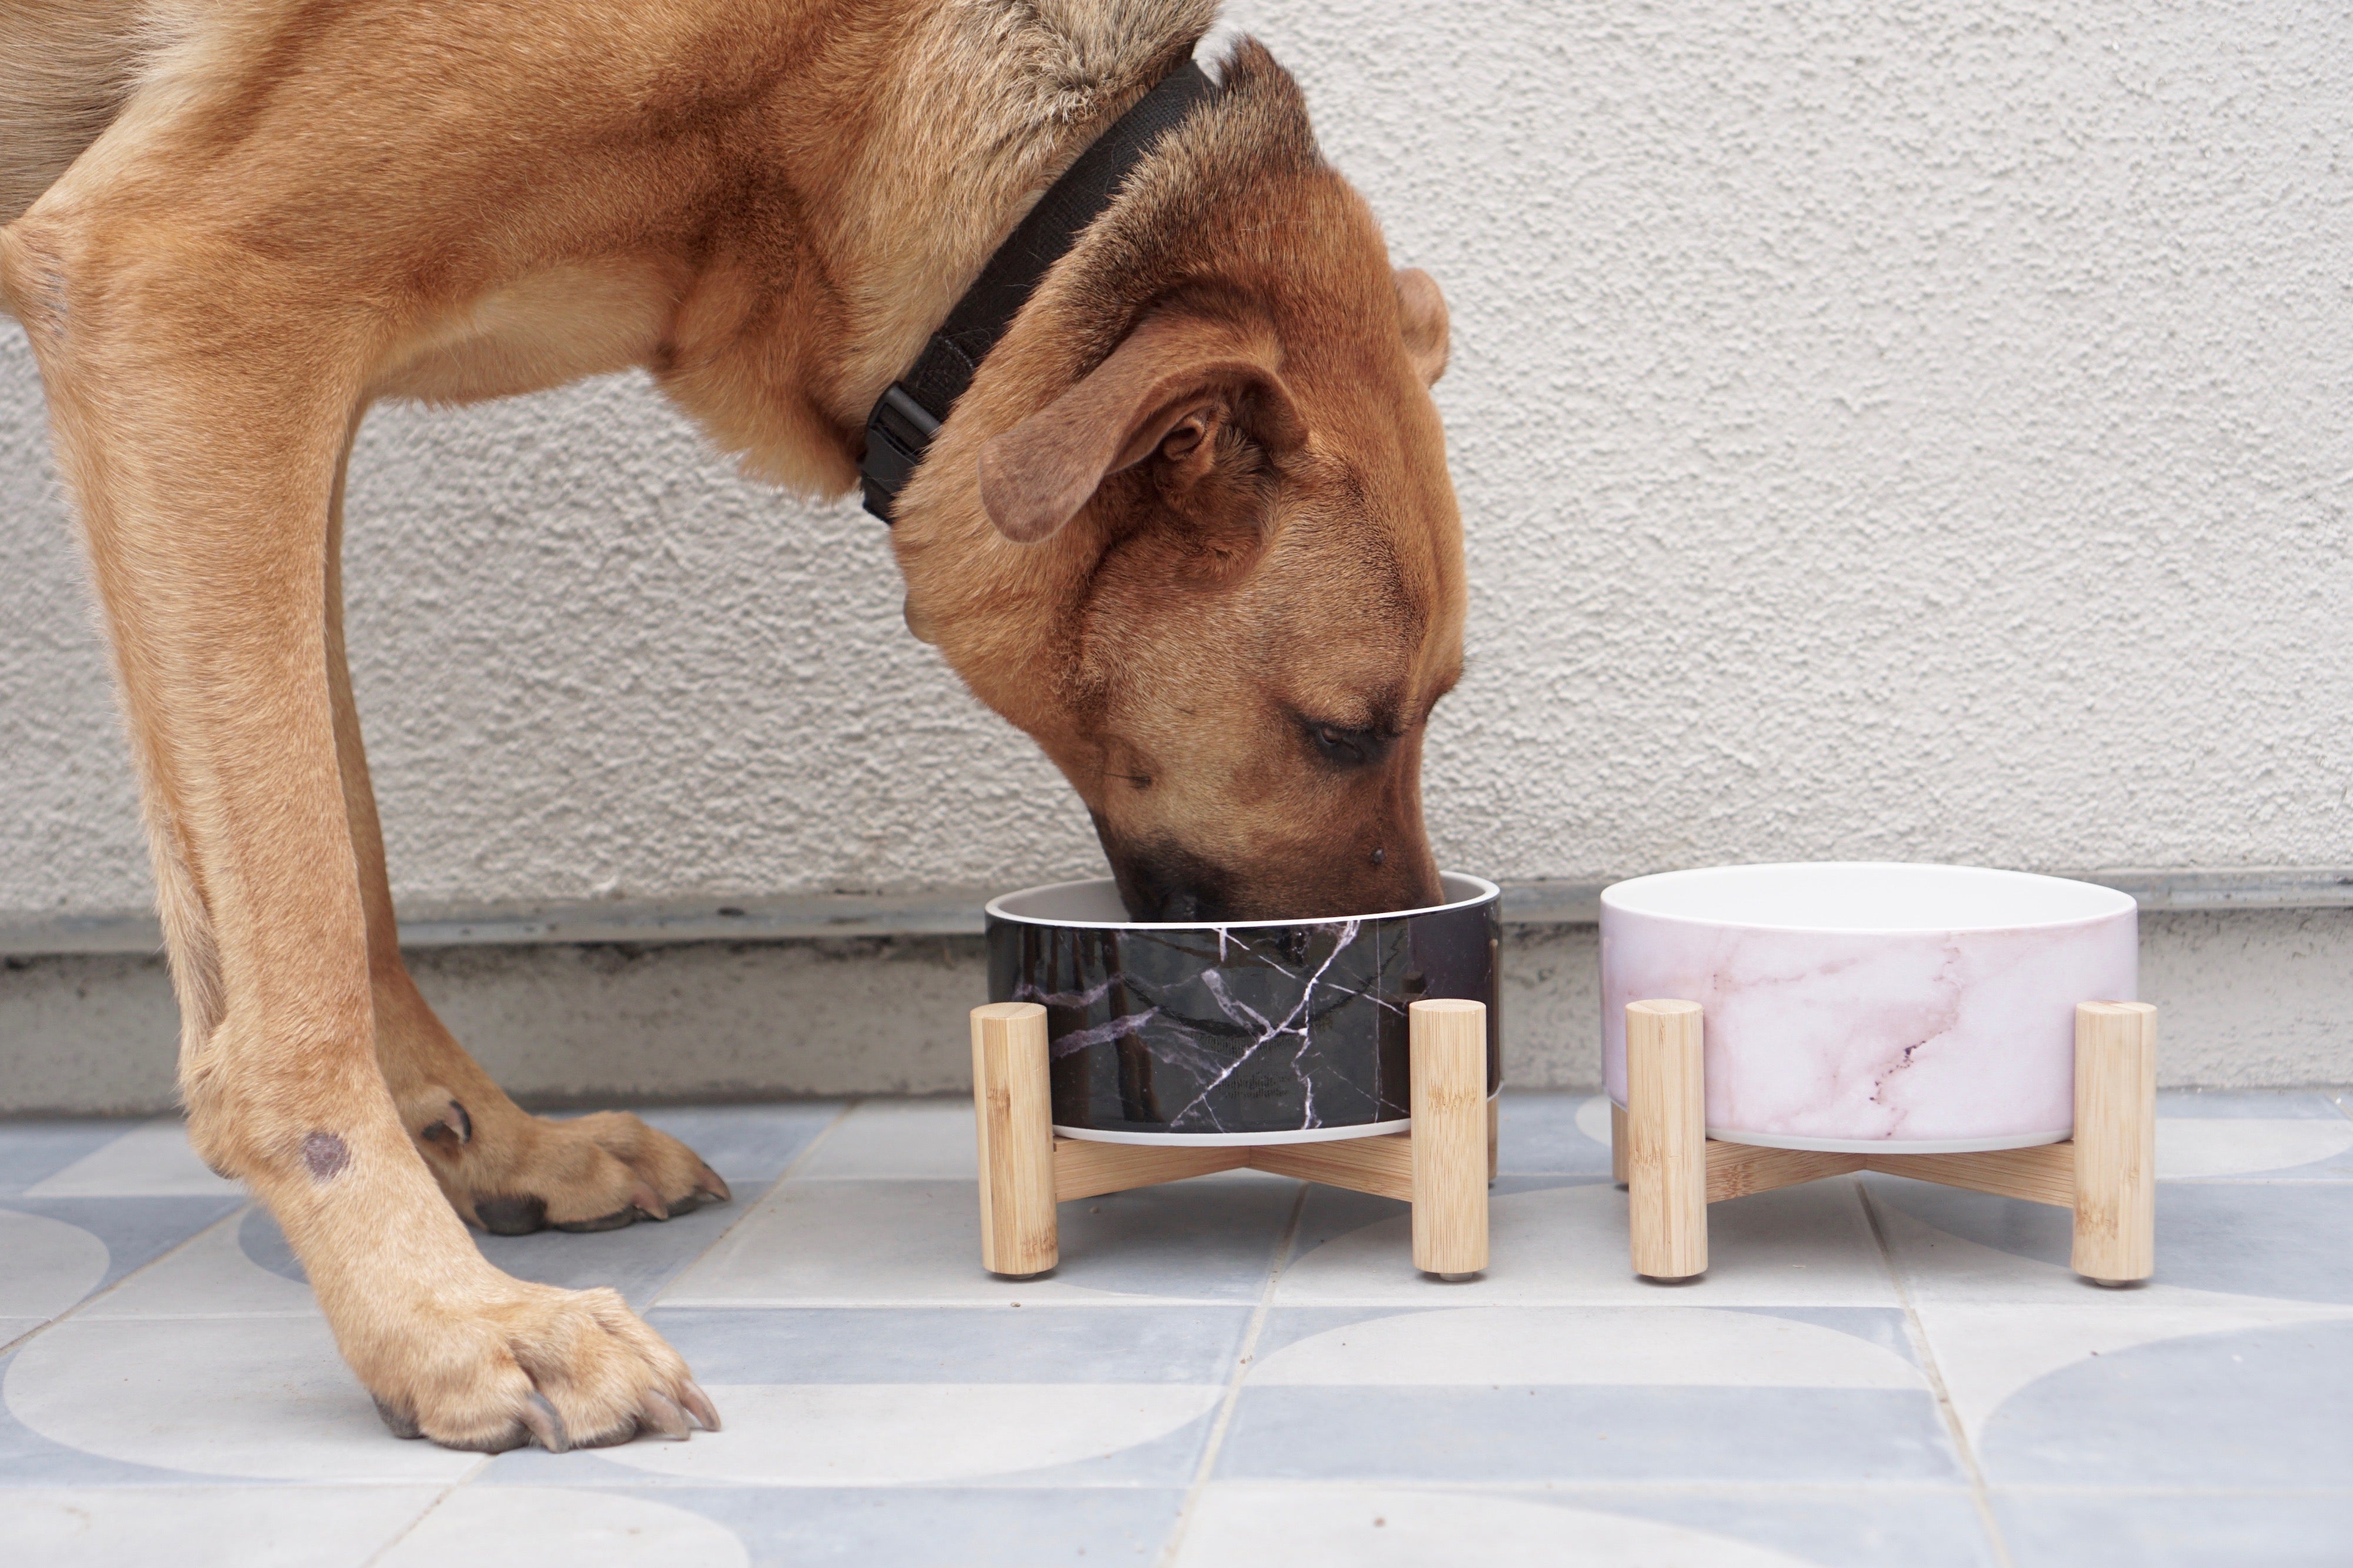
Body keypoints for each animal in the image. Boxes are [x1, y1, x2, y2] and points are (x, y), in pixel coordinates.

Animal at [0, 0, 1459, 1450]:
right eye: (1346, 731)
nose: (1383, 986)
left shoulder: (294, 400)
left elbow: (345, 864)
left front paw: (487, 1148)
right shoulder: (190, 303)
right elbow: (292, 944)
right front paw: (442, 1317)